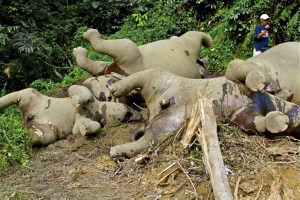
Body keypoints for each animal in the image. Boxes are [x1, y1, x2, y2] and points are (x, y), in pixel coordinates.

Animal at [0, 85, 142, 145]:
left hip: (47, 133)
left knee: (34, 137)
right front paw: (77, 99)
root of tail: (27, 118)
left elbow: (85, 127)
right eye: (128, 113)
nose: (135, 115)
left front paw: (86, 128)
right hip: (29, 94)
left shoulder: (81, 120)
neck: (100, 110)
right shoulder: (90, 98)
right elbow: (80, 91)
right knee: (15, 95)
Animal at [73, 28, 213, 78]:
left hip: (130, 59)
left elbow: (196, 34)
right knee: (100, 66)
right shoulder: (185, 42)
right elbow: (177, 37)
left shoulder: (189, 43)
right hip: (120, 63)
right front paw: (209, 42)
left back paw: (86, 38)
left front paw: (209, 42)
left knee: (124, 45)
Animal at [108, 68, 300, 159]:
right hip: (161, 79)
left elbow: (255, 123)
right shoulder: (239, 85)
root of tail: (153, 108)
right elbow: (241, 72)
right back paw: (113, 86)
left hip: (166, 124)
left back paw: (116, 150)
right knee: (145, 74)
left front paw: (276, 121)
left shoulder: (242, 115)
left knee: (149, 139)